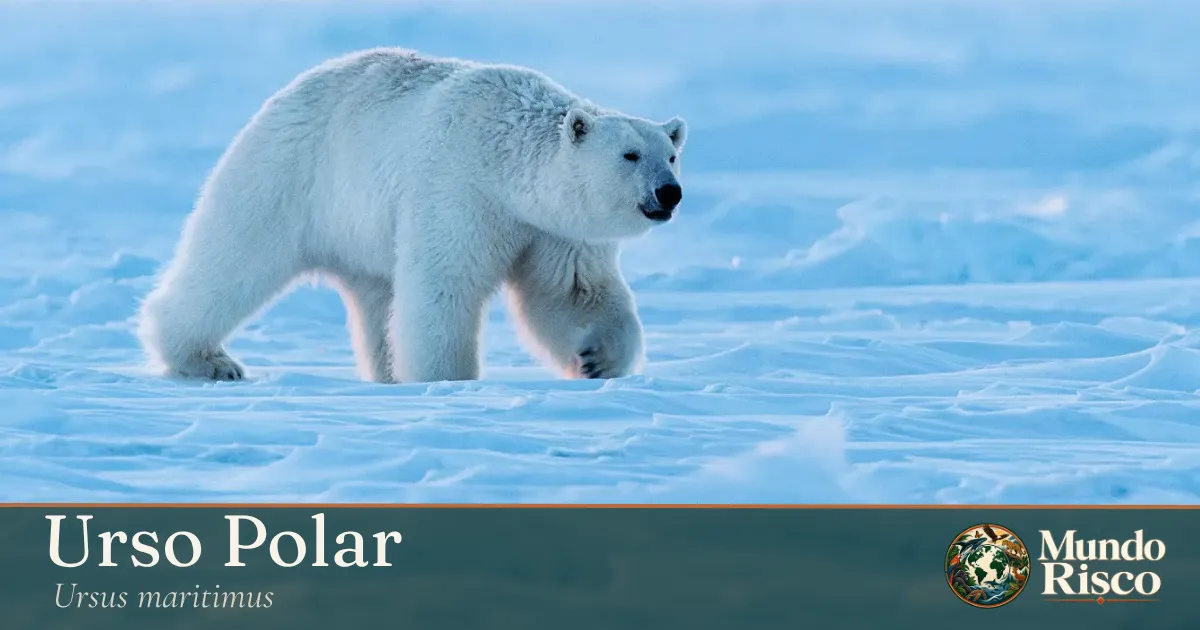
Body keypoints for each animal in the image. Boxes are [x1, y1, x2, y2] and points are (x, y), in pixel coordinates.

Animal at [136, 47, 687, 384]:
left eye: (671, 154)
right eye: (630, 155)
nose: (670, 192)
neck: (504, 158)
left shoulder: (554, 229)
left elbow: (573, 291)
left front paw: (598, 358)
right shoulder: (461, 189)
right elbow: (443, 285)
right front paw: (448, 378)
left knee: (378, 299)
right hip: (289, 176)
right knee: (233, 257)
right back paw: (207, 360)